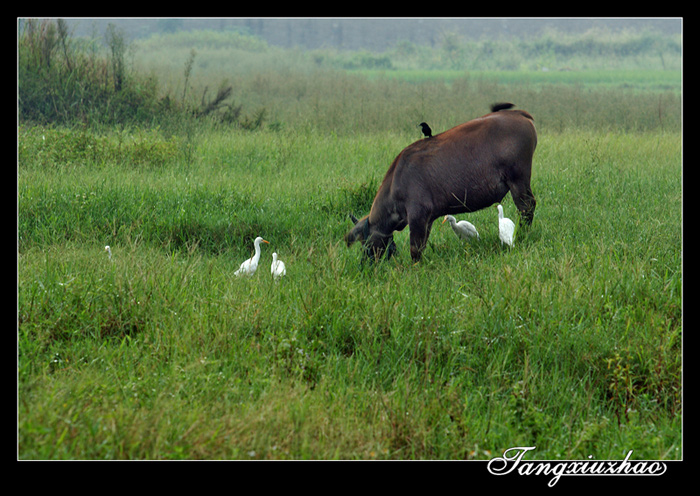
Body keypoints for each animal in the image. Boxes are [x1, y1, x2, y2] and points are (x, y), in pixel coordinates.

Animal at [344, 102, 536, 262]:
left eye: (365, 242)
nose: (365, 263)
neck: (396, 182)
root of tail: (518, 113)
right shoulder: (427, 220)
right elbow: (421, 246)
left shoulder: (418, 217)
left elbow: (415, 250)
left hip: (518, 181)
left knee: (526, 207)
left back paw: (523, 234)